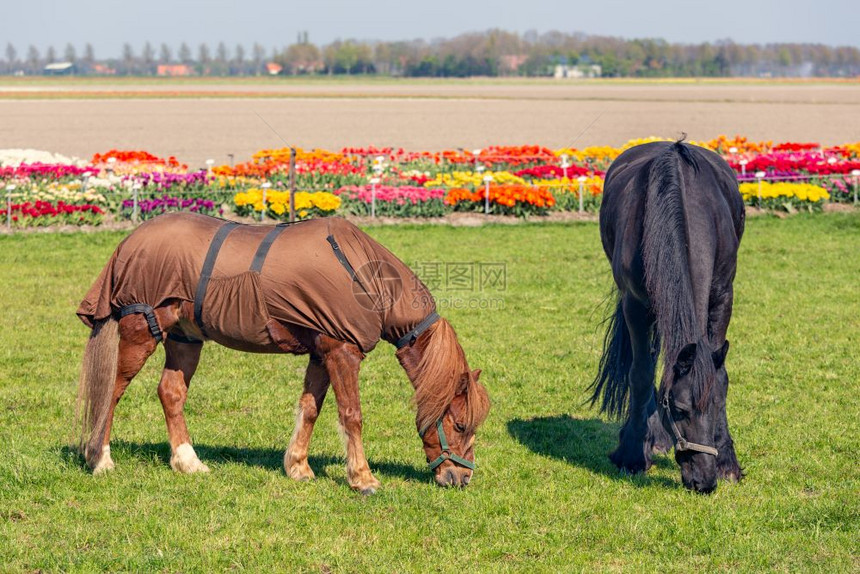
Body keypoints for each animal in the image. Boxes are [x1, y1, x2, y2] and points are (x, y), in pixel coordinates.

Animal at [75, 214, 490, 492]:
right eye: (460, 425)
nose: (461, 477)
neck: (367, 280)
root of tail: (128, 243)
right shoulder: (343, 352)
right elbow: (351, 415)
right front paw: (362, 478)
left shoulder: (323, 352)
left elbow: (310, 409)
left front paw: (298, 467)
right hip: (142, 331)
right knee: (110, 392)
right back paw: (101, 459)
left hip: (184, 338)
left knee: (171, 394)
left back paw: (188, 462)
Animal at [592, 141, 744, 496]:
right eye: (679, 410)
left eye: (717, 406)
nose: (704, 481)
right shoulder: (636, 304)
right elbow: (641, 373)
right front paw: (632, 454)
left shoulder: (723, 297)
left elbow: (720, 374)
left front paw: (728, 460)